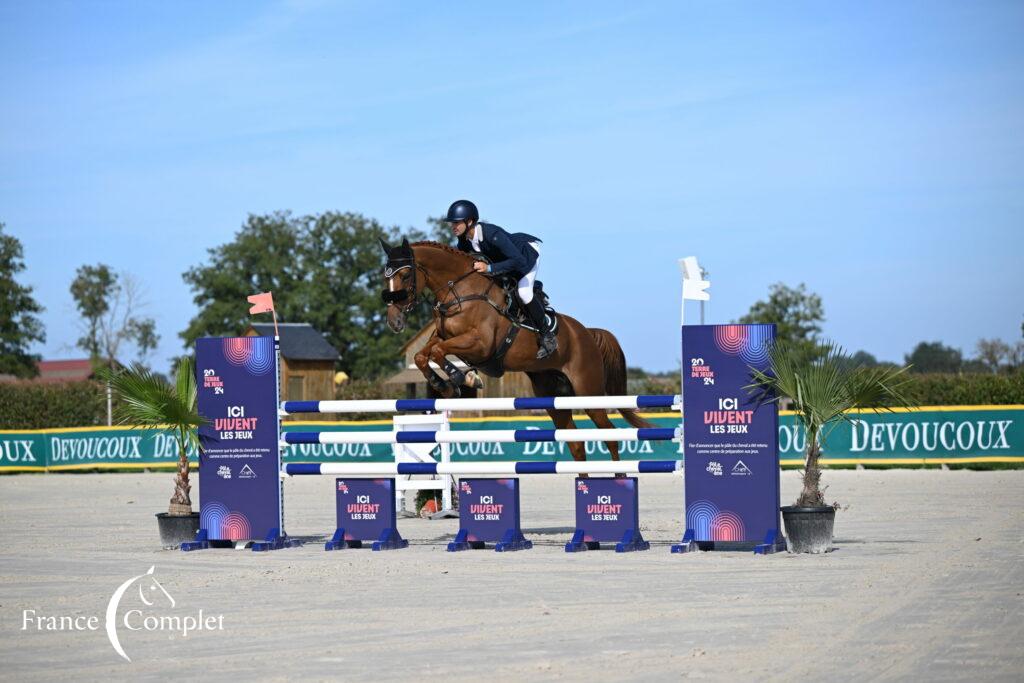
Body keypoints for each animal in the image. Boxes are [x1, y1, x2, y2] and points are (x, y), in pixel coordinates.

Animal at [378, 236, 655, 464]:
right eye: (386, 277)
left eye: (405, 276)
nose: (394, 322)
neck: (461, 291)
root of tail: (588, 332)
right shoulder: (443, 337)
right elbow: (422, 355)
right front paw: (444, 383)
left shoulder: (480, 344)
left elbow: (438, 352)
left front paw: (462, 378)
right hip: (553, 395)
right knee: (576, 444)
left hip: (589, 392)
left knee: (610, 435)